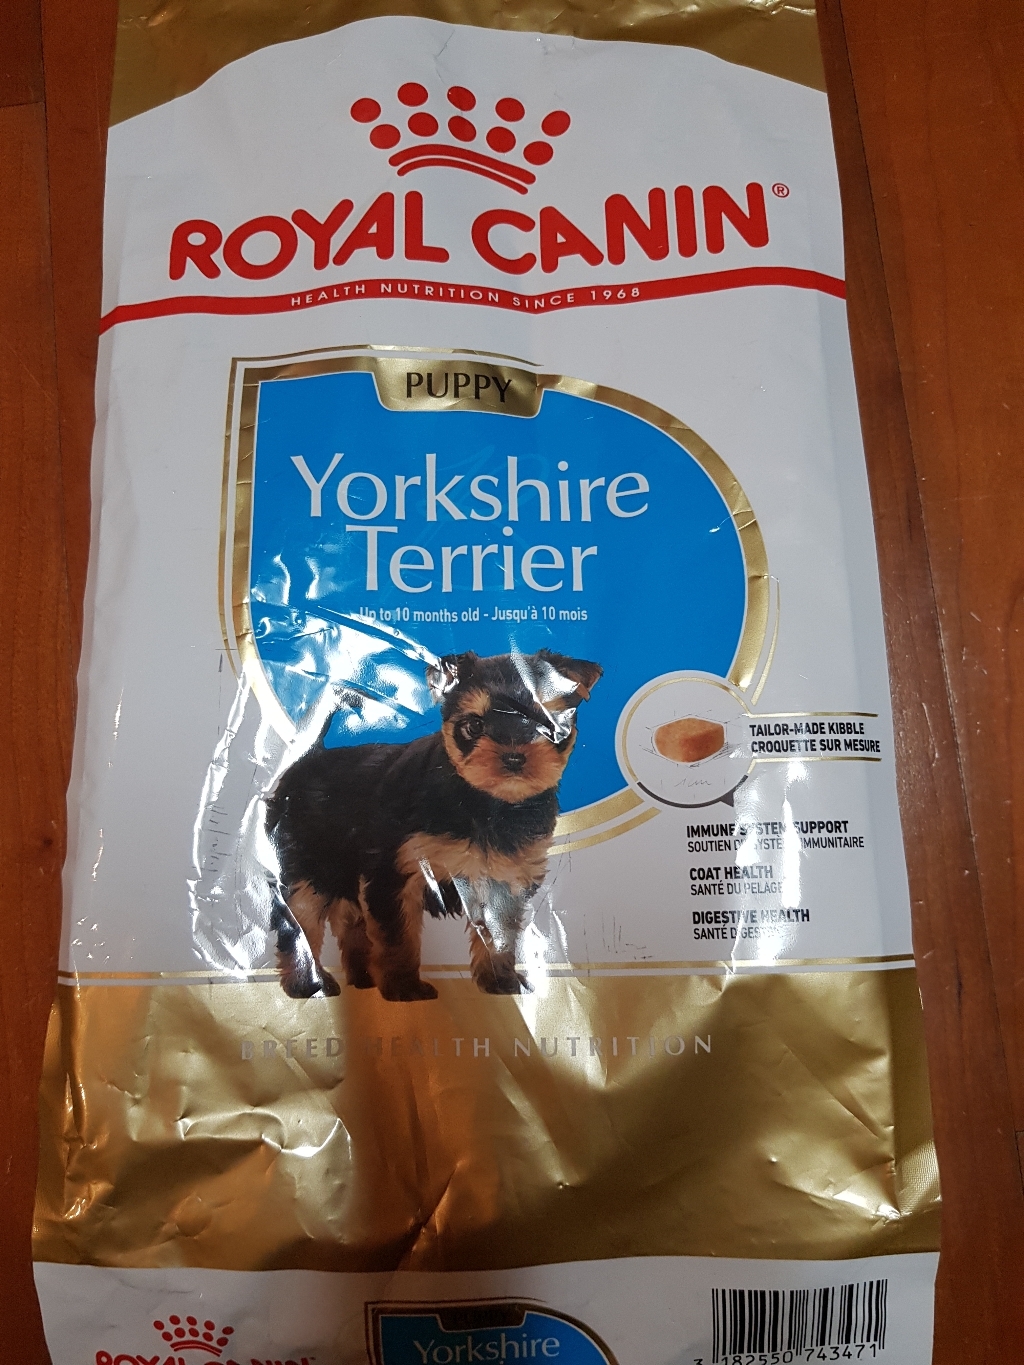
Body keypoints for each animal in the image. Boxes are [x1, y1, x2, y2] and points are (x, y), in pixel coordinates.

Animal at [264, 648, 601, 1001]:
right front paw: (405, 988)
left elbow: (500, 934)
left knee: (349, 919)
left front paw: (500, 980)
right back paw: (308, 984)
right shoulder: (395, 871)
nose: (513, 757)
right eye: (475, 725)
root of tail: (309, 757)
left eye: (548, 722)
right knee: (299, 920)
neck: (487, 802)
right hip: (307, 867)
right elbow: (398, 936)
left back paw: (362, 978)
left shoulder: (505, 877)